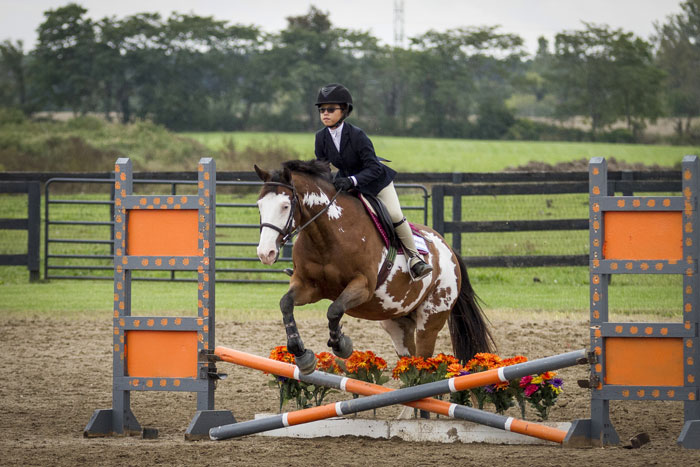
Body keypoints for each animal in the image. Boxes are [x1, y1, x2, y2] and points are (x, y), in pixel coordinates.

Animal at [253, 161, 492, 376]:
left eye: (285, 206)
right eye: (259, 205)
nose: (266, 253)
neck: (327, 236)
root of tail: (449, 250)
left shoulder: (363, 286)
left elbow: (334, 310)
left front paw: (342, 345)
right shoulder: (309, 287)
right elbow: (286, 304)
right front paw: (302, 355)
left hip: (431, 319)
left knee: (424, 367)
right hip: (398, 323)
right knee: (412, 367)